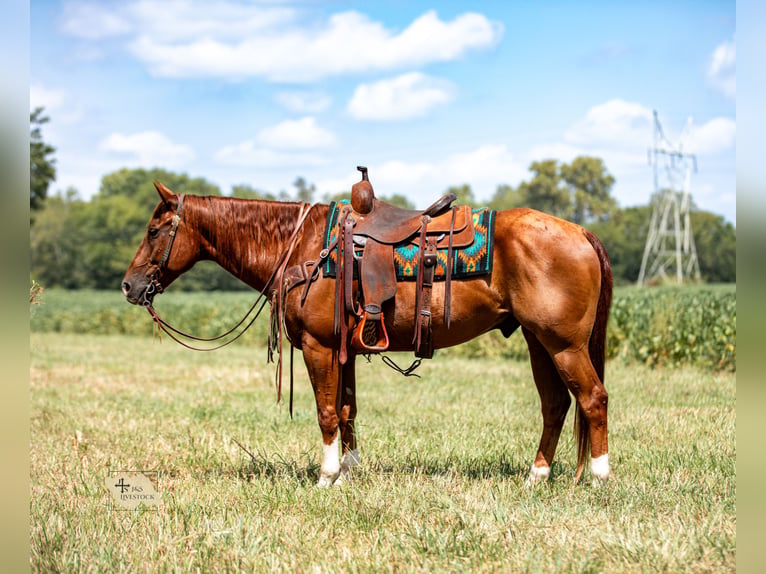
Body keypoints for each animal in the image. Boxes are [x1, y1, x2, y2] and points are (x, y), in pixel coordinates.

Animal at [122, 181, 612, 488]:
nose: (128, 285)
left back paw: (600, 477)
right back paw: (537, 475)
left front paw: (326, 477)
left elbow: (325, 413)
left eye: (153, 230)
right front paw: (350, 469)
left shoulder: (319, 347)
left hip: (563, 345)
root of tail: (581, 231)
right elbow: (347, 410)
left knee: (592, 399)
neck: (303, 247)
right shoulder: (347, 351)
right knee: (556, 405)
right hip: (537, 341)